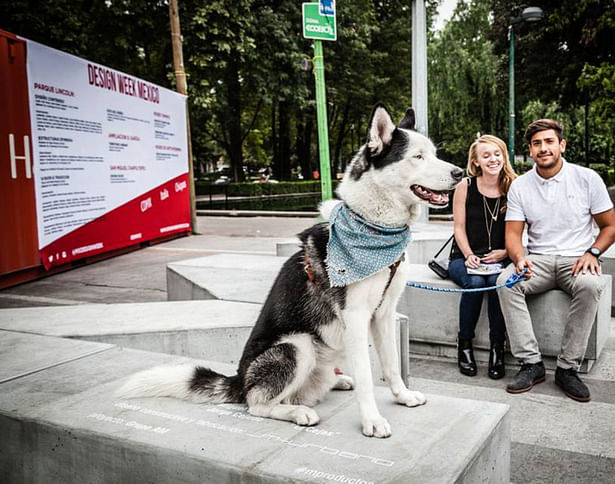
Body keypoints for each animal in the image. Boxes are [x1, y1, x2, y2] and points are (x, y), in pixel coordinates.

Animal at [118, 104, 462, 436]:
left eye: (434, 153)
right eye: (417, 157)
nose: (459, 173)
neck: (374, 228)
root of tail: (239, 379)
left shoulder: (384, 313)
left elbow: (391, 365)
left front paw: (402, 396)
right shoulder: (355, 317)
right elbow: (367, 377)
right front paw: (372, 421)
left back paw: (335, 382)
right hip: (297, 346)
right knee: (257, 404)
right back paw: (297, 411)